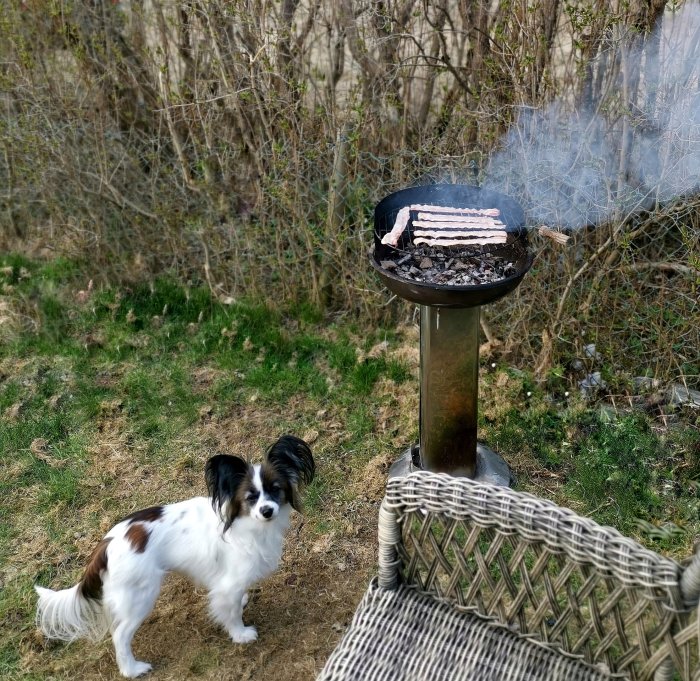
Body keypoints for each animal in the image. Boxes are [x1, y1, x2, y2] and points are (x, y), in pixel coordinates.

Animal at [35, 436, 314, 676]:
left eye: (275, 490)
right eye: (251, 497)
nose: (267, 511)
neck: (242, 522)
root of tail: (108, 543)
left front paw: (244, 601)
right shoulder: (228, 584)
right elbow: (231, 612)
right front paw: (241, 634)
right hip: (140, 596)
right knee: (120, 635)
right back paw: (132, 670)